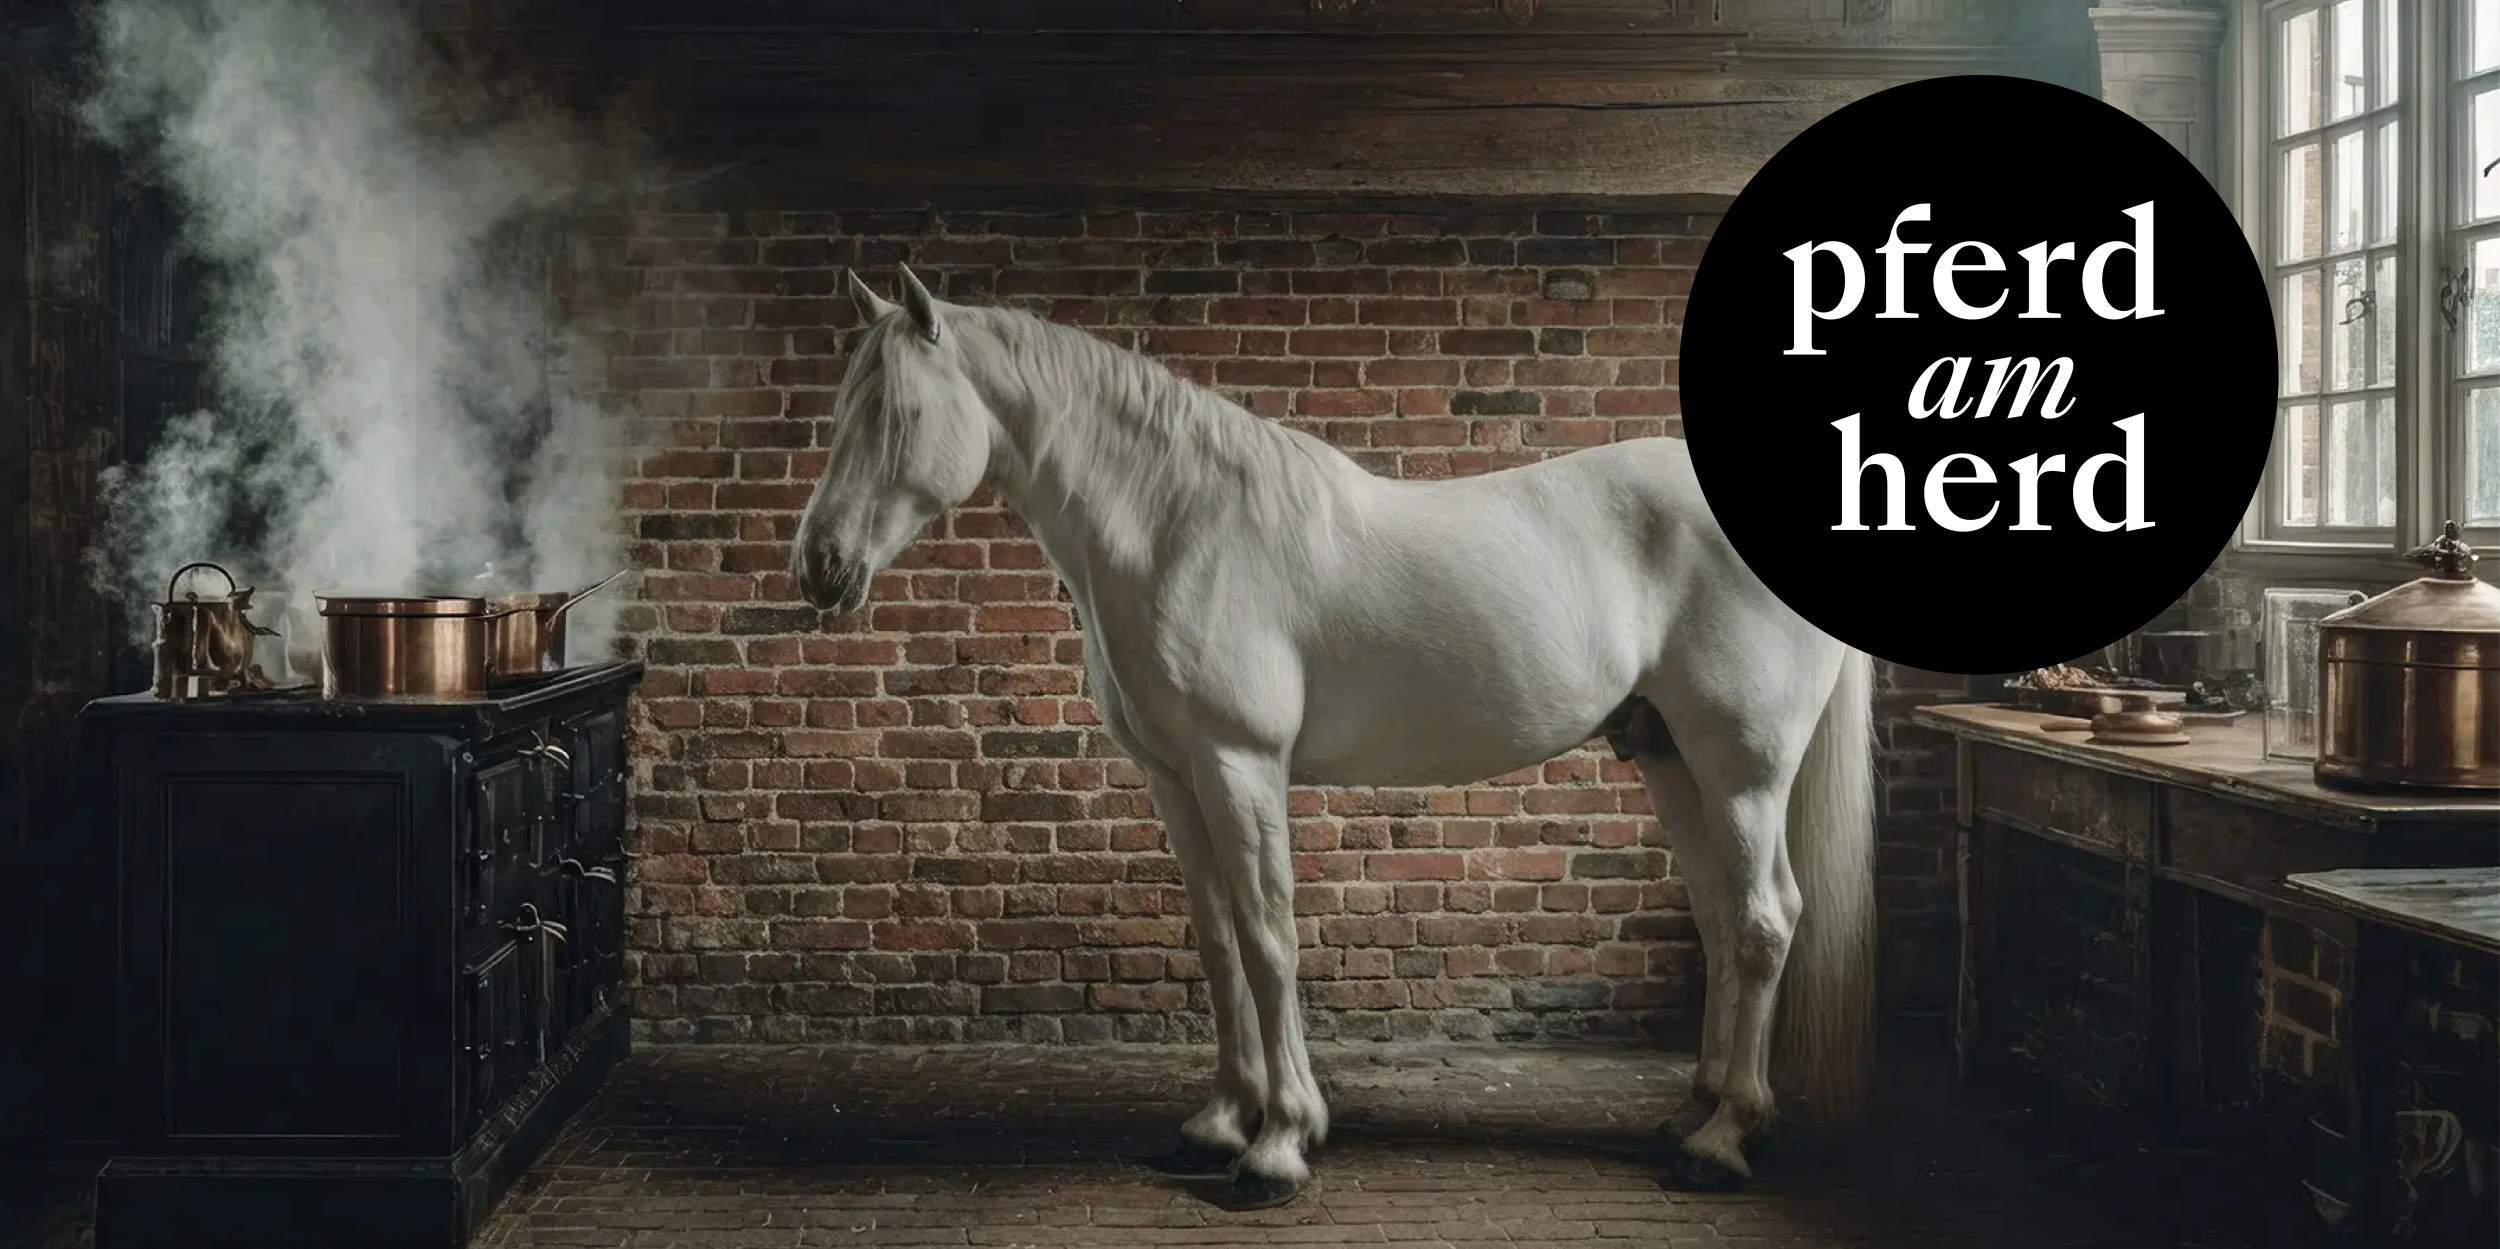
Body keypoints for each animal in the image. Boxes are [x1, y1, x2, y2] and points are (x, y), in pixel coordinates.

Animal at [789, 264, 1877, 1208]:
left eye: (900, 414)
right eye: (841, 409)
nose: (819, 566)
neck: (1181, 528)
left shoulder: (1240, 764)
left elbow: (1269, 937)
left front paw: (1277, 1145)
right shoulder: (1174, 776)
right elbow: (1217, 939)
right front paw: (1220, 1123)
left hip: (1742, 766)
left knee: (1764, 919)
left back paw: (1723, 1139)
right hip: (1668, 756)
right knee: (1719, 915)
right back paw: (1692, 1111)